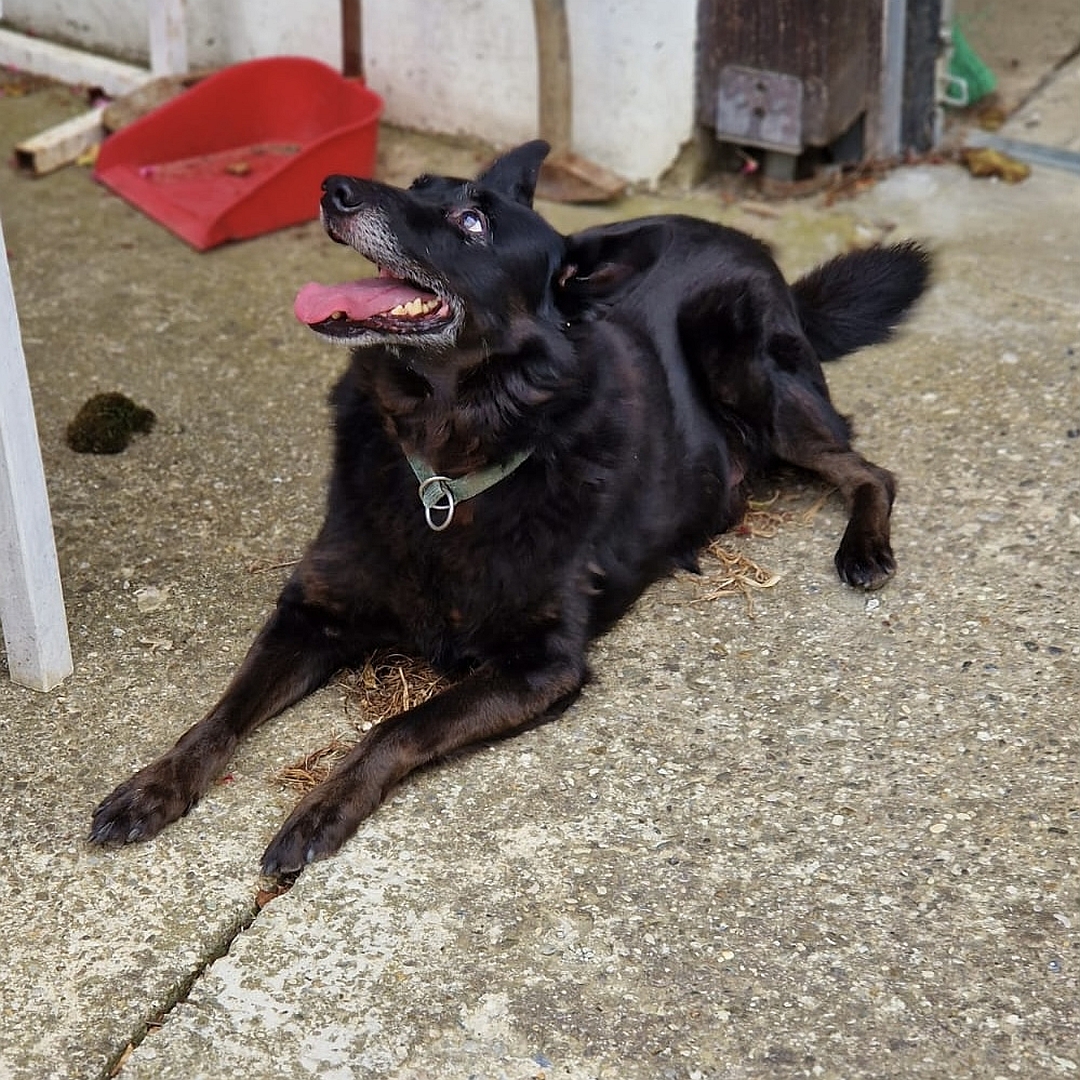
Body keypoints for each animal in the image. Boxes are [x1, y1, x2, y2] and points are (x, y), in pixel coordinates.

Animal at [90, 139, 928, 872]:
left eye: (473, 223)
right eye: (418, 185)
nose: (334, 187)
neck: (443, 469)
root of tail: (753, 249)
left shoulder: (541, 664)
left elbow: (399, 726)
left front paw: (323, 806)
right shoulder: (310, 612)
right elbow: (221, 712)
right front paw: (157, 783)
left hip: (743, 365)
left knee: (870, 470)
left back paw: (863, 549)